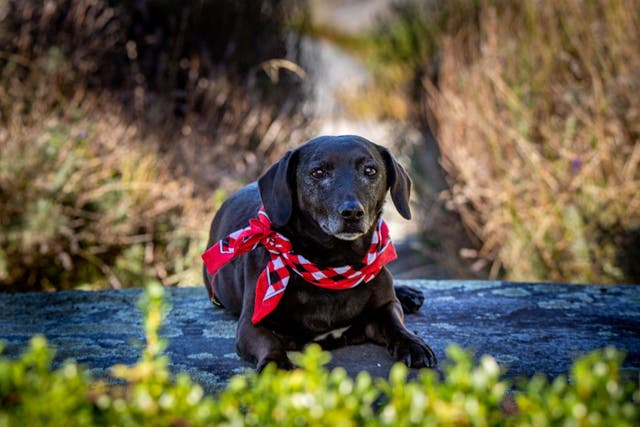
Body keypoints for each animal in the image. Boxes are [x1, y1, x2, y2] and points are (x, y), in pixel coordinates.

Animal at [202, 136, 438, 372]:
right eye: (318, 172)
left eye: (370, 170)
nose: (352, 213)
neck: (334, 267)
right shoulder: (251, 324)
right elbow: (269, 342)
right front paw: (275, 365)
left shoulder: (386, 307)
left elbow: (396, 324)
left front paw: (413, 344)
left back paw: (407, 293)